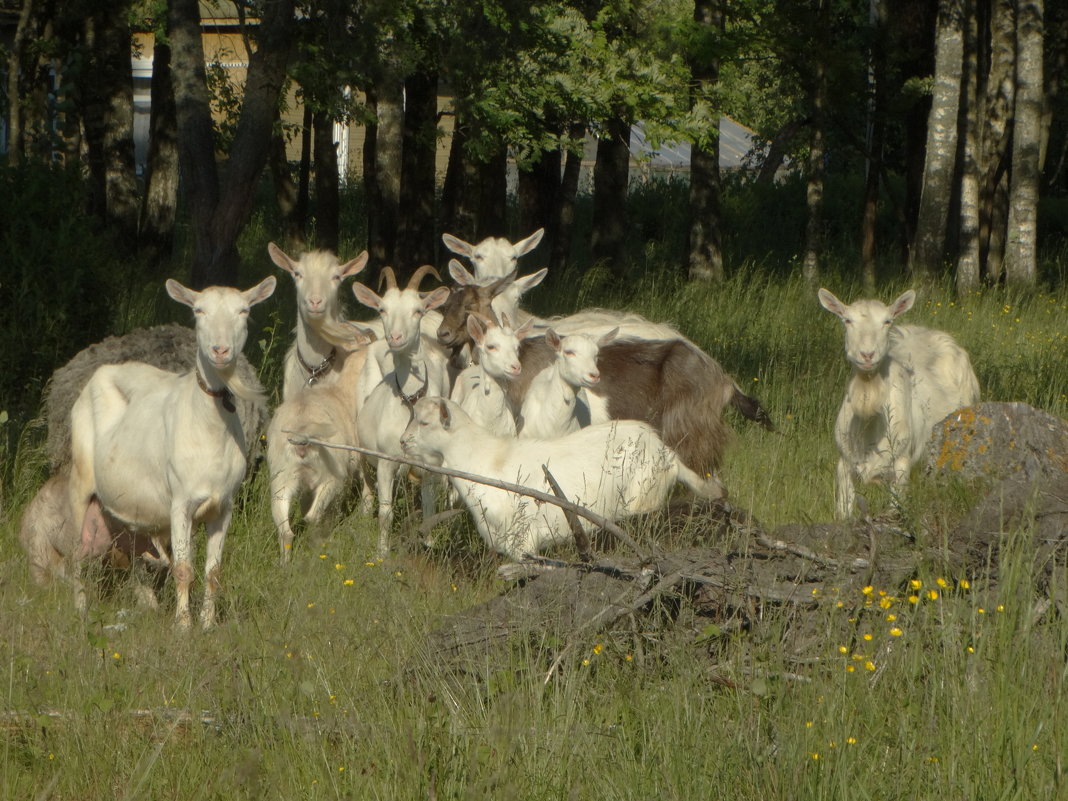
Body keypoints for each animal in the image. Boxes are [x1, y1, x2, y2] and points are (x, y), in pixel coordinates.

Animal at [67, 279, 275, 632]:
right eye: (199, 310)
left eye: (243, 311)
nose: (220, 350)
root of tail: (101, 372)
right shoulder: (181, 503)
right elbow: (183, 568)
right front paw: (182, 625)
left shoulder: (224, 506)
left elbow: (213, 572)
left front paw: (207, 623)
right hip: (80, 482)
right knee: (77, 555)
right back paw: (81, 610)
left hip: (126, 503)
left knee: (132, 551)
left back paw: (147, 604)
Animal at [267, 326, 375, 563]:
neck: (343, 391)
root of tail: (302, 433)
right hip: (331, 476)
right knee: (312, 517)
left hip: (282, 478)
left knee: (285, 530)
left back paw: (285, 565)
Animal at [352, 263, 448, 559]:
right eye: (382, 309)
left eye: (418, 310)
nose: (395, 337)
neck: (410, 401)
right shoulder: (386, 462)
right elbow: (386, 513)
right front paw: (381, 554)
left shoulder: (429, 465)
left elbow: (429, 508)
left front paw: (429, 544)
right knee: (366, 486)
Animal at [401, 399, 726, 559]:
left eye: (424, 422)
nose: (403, 442)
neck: (487, 459)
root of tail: (667, 454)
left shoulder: (523, 543)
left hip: (643, 501)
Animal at [815, 288, 982, 521]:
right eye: (847, 320)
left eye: (887, 321)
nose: (867, 355)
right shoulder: (844, 464)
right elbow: (843, 515)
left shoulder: (901, 466)